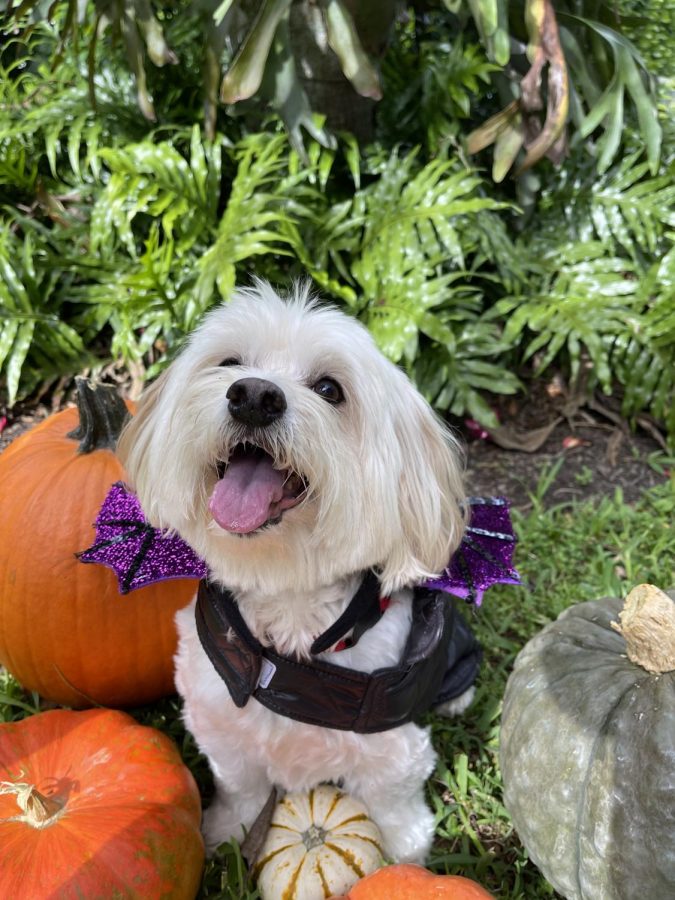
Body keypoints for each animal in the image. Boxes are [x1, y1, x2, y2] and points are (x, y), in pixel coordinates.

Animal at [117, 282, 470, 864]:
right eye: (231, 363)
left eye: (330, 389)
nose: (254, 396)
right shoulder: (221, 720)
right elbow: (240, 786)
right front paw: (225, 831)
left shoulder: (392, 743)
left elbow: (393, 803)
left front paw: (406, 855)